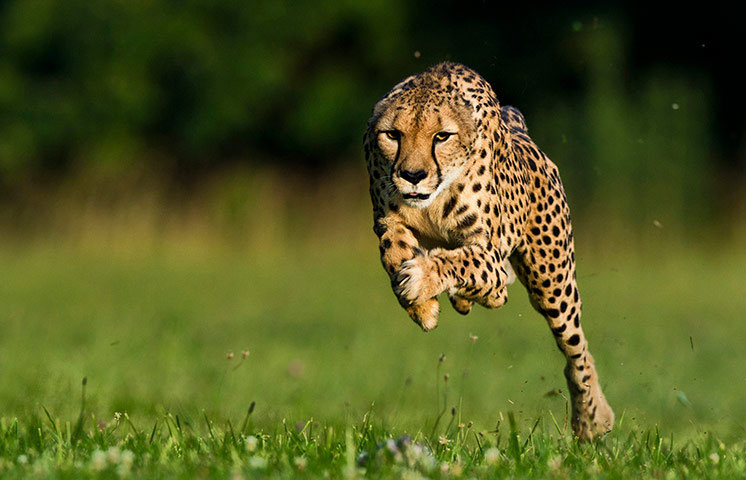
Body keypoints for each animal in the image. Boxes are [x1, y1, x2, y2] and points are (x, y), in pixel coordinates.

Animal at [363, 62, 614, 440]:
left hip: (552, 283)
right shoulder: (387, 220)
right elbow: (393, 251)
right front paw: (422, 307)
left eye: (441, 136)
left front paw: (421, 280)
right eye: (393, 135)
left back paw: (591, 419)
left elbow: (462, 261)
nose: (412, 174)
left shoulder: (489, 254)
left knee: (577, 350)